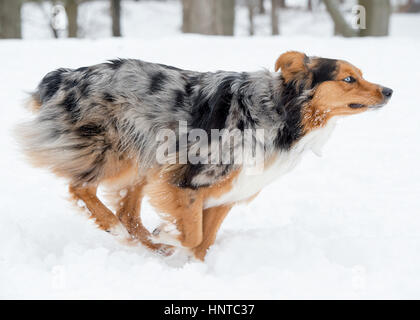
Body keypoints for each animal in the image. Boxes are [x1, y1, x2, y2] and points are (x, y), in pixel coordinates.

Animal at [15, 50, 390, 260]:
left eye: (360, 75)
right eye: (348, 78)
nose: (389, 90)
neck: (281, 112)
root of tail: (65, 76)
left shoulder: (226, 192)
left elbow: (203, 243)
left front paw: (193, 272)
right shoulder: (187, 179)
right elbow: (193, 235)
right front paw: (170, 235)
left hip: (145, 162)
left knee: (128, 213)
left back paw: (151, 248)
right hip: (117, 151)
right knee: (83, 190)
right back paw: (119, 231)